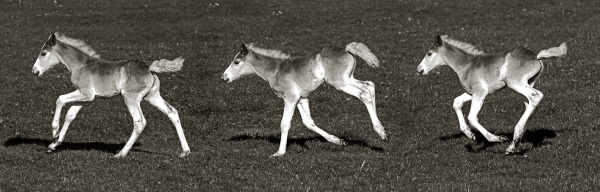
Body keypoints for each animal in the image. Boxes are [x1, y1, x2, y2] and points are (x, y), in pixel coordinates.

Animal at [31, 32, 190, 157]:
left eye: (43, 53)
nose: (34, 71)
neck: (82, 65)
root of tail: (149, 68)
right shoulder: (86, 97)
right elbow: (70, 114)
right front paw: (54, 144)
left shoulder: (86, 93)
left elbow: (60, 99)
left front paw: (54, 131)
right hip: (152, 97)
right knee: (172, 112)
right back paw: (185, 151)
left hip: (130, 98)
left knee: (139, 122)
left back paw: (121, 154)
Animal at [223, 43, 386, 156]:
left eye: (236, 62)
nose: (224, 77)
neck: (276, 70)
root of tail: (346, 49)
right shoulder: (301, 98)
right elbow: (308, 122)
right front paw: (338, 141)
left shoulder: (290, 98)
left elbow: (284, 124)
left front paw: (279, 152)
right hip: (348, 79)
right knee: (370, 85)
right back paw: (382, 132)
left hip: (340, 83)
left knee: (364, 93)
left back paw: (381, 132)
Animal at [420, 35, 564, 154]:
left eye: (429, 53)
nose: (419, 69)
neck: (467, 65)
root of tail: (536, 56)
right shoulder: (471, 92)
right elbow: (457, 102)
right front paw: (470, 134)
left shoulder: (480, 92)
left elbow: (472, 117)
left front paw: (496, 138)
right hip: (528, 83)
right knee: (530, 105)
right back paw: (514, 144)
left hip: (514, 83)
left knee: (536, 96)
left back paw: (515, 137)